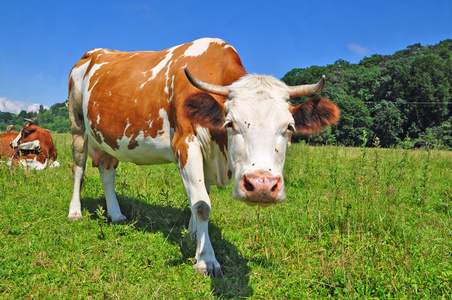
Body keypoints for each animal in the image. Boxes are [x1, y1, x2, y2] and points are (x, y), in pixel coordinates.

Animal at [67, 38, 340, 278]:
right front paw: (206, 260)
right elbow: (202, 205)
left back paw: (116, 215)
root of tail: (92, 53)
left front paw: (193, 238)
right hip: (77, 126)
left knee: (107, 172)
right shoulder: (186, 144)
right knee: (79, 169)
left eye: (289, 128)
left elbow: (199, 197)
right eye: (231, 123)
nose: (262, 186)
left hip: (107, 138)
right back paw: (75, 212)